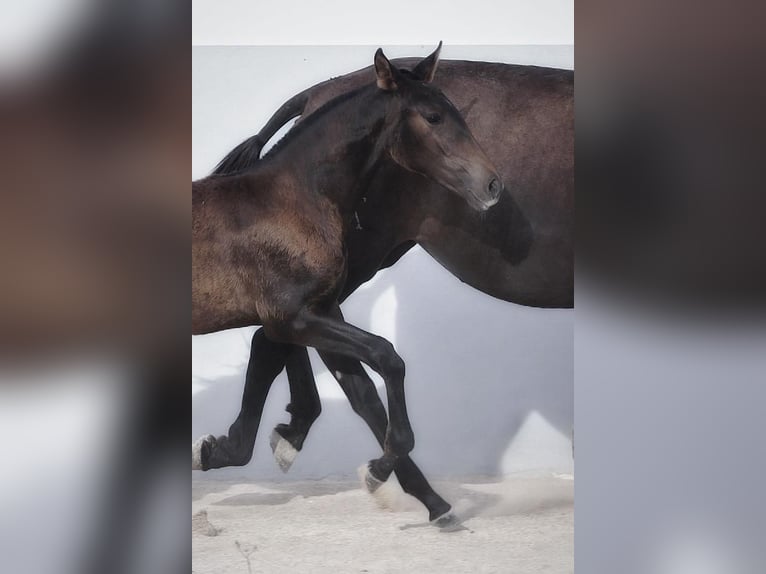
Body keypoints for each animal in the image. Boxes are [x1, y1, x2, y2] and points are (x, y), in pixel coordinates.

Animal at [195, 54, 572, 532]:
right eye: (432, 117)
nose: (492, 186)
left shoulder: (309, 306)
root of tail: (314, 91)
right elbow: (385, 356)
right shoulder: (299, 309)